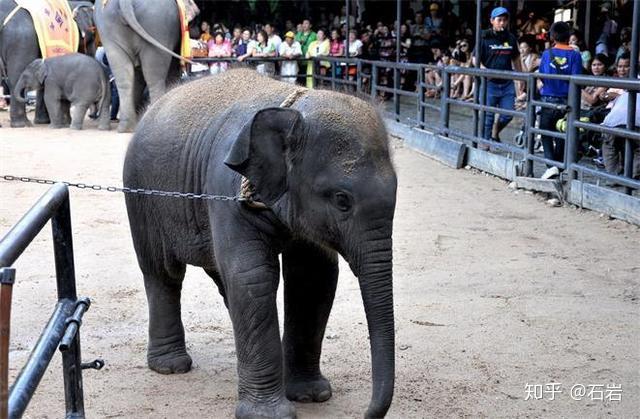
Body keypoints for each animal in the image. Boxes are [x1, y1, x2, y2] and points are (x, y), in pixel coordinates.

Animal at [94, 0, 194, 133]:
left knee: (124, 76)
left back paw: (126, 127)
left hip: (108, 29)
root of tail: (124, 2)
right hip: (157, 27)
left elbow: (137, 75)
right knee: (154, 76)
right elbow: (172, 67)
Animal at [123, 69, 397, 419]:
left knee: (221, 279)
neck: (292, 110)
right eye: (342, 200)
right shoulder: (225, 189)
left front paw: (312, 396)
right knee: (163, 273)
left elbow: (313, 278)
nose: (366, 413)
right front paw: (272, 415)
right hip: (141, 193)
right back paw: (170, 367)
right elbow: (252, 276)